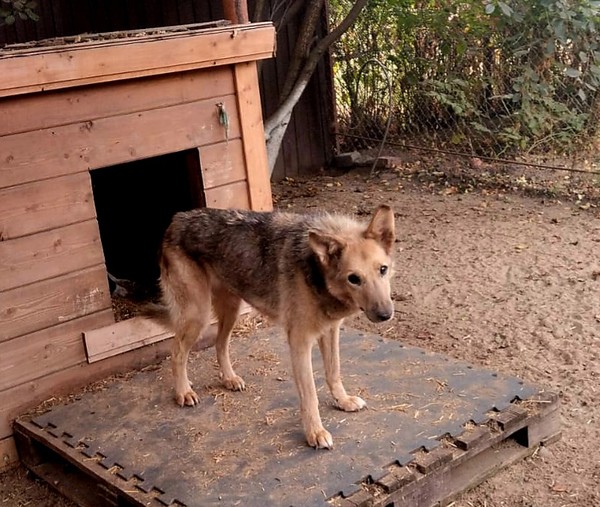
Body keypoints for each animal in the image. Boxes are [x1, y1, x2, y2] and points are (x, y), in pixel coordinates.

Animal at [149, 204, 394, 450]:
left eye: (383, 270)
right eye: (354, 278)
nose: (385, 315)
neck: (316, 271)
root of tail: (178, 218)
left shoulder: (330, 331)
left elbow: (334, 372)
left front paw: (343, 401)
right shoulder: (300, 342)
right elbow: (310, 395)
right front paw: (315, 433)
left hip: (231, 310)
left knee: (220, 344)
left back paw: (229, 379)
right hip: (198, 316)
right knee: (177, 352)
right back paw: (184, 391)